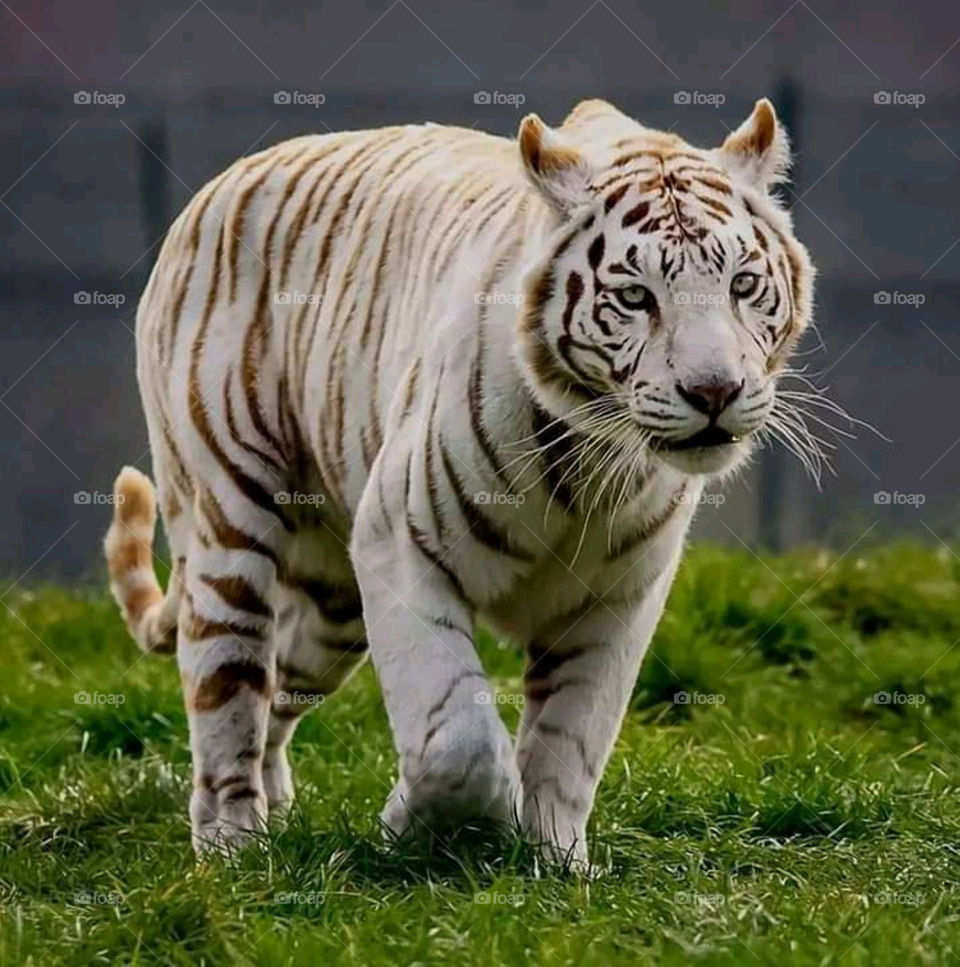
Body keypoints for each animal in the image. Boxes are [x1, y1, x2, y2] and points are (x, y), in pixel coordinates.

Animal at [104, 97, 814, 867]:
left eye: (743, 284)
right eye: (634, 296)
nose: (714, 391)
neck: (592, 457)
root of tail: (216, 186)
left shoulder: (618, 595)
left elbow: (571, 741)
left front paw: (554, 859)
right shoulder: (399, 543)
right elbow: (457, 735)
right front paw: (422, 822)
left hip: (332, 605)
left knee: (279, 689)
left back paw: (277, 812)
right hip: (230, 525)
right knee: (229, 691)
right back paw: (234, 846)